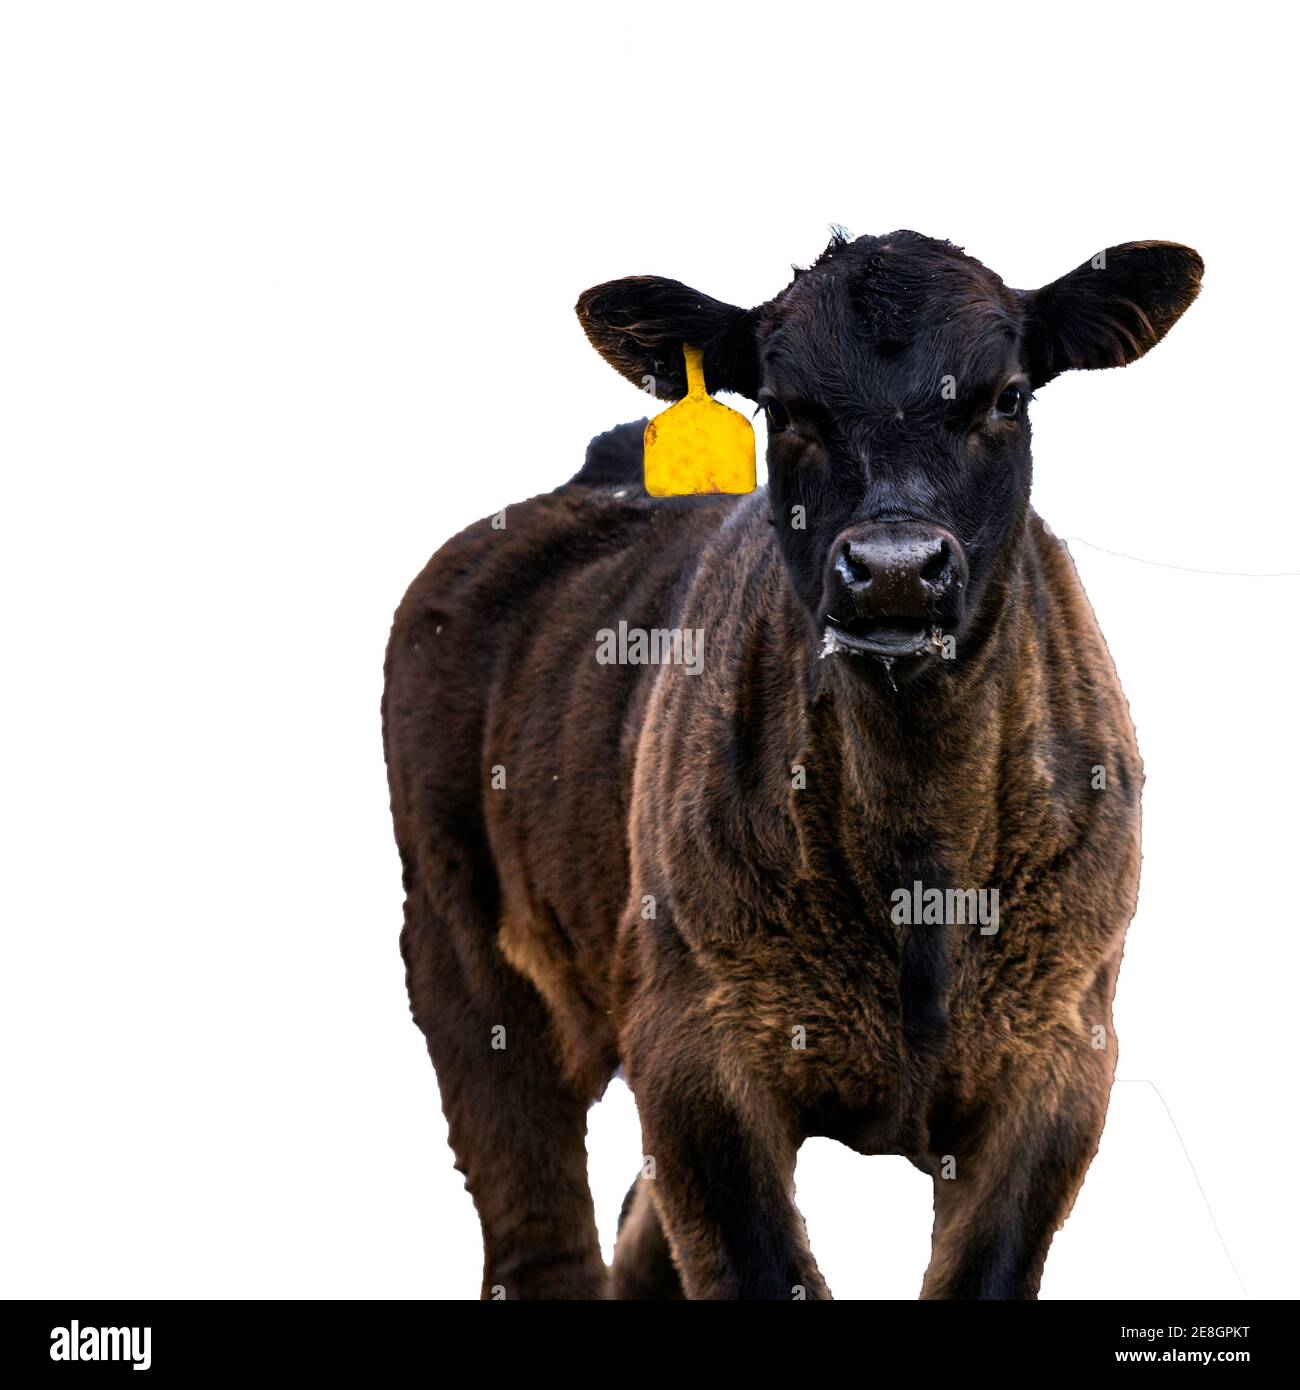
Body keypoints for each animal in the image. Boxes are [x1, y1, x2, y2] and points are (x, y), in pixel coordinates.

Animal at [381, 230, 1203, 1299]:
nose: (894, 569)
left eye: (1008, 396)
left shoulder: (1060, 1051)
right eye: (784, 407)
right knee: (539, 1224)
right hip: (462, 953)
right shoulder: (697, 1045)